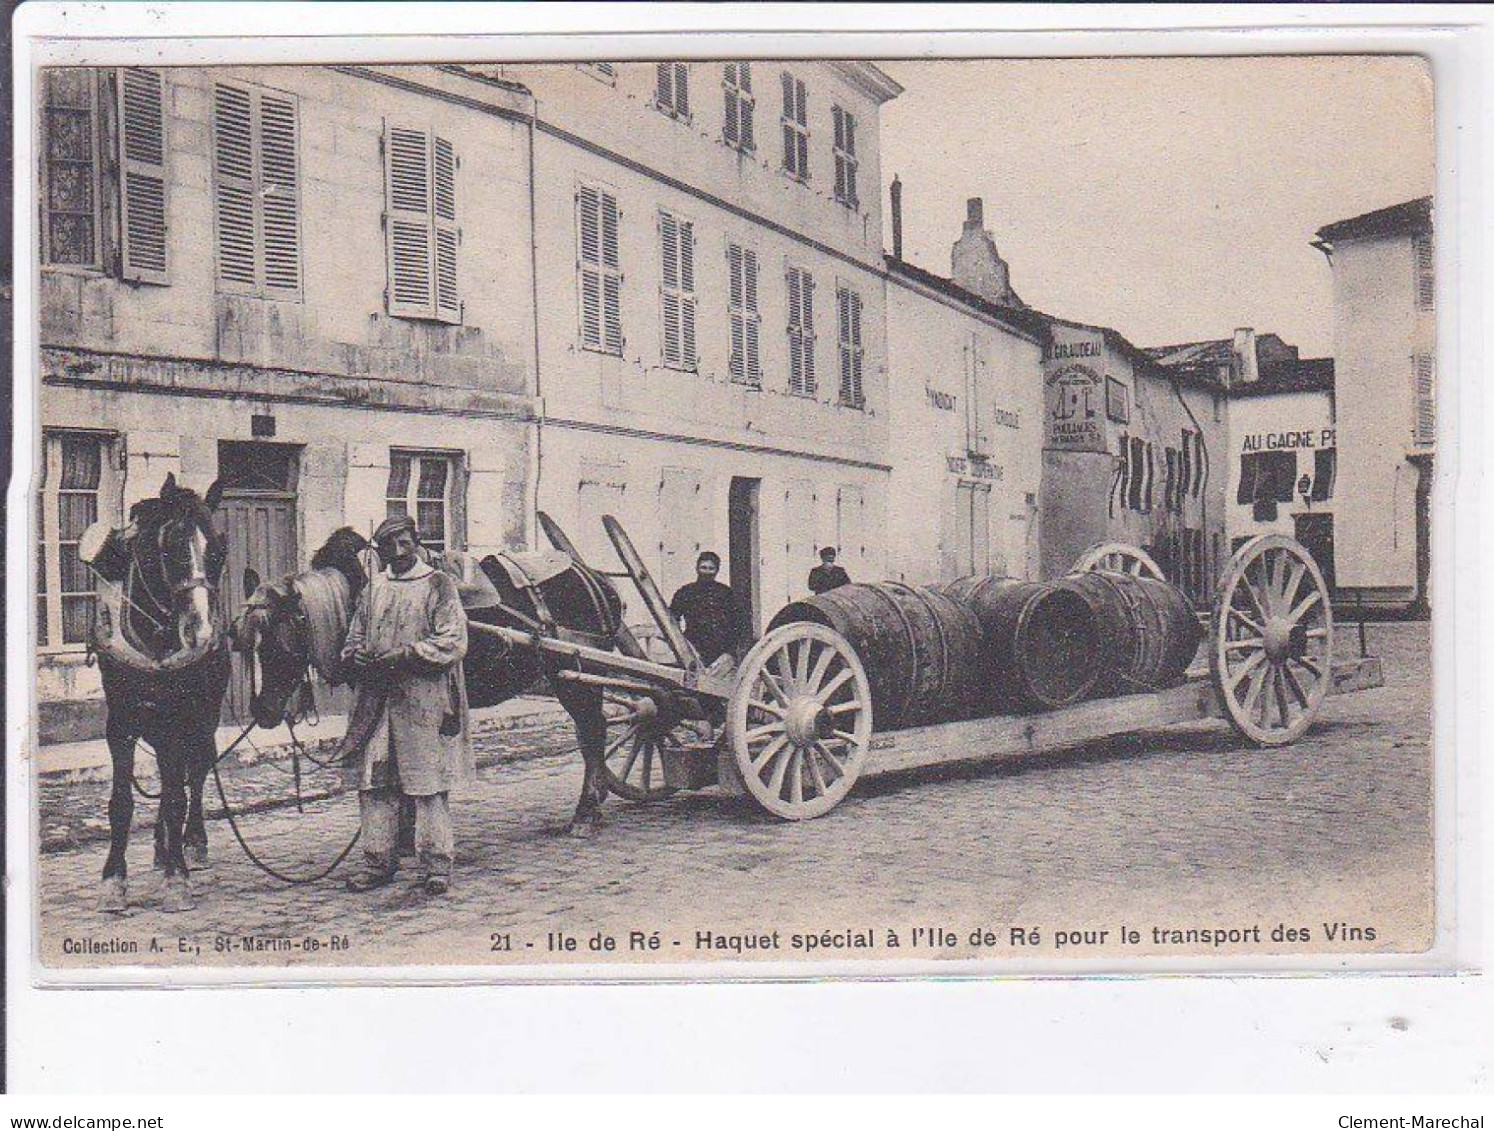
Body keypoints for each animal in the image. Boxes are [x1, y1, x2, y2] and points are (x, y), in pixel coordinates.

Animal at [92, 472, 230, 914]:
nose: (200, 632)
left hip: (203, 717)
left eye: (218, 551)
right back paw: (160, 848)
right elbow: (122, 802)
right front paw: (114, 881)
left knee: (195, 775)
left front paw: (177, 878)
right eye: (170, 548)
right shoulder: (120, 723)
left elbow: (175, 797)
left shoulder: (180, 718)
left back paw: (190, 844)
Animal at [231, 525, 624, 836]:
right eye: (254, 647)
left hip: (575, 675)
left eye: (283, 645)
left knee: (593, 730)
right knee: (590, 733)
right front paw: (403, 834)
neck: (359, 593)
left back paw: (586, 812)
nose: (263, 711)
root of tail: (593, 576)